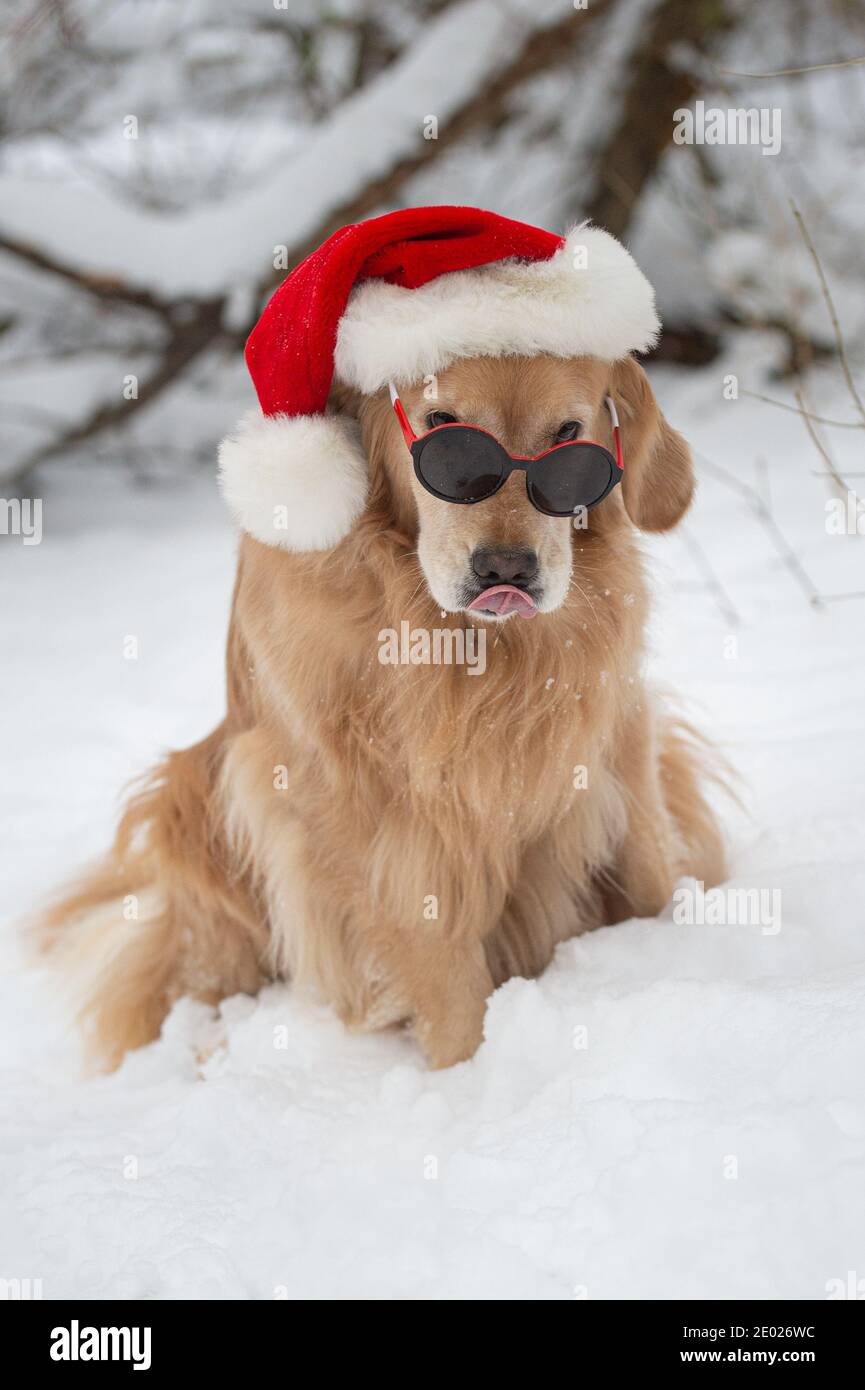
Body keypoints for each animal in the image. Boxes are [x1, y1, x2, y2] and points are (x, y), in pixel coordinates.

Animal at [40, 350, 728, 1073]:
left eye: (569, 434)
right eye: (443, 427)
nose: (505, 569)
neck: (466, 645)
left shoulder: (617, 731)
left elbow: (649, 862)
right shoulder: (361, 808)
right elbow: (440, 964)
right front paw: (464, 1076)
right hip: (195, 801)